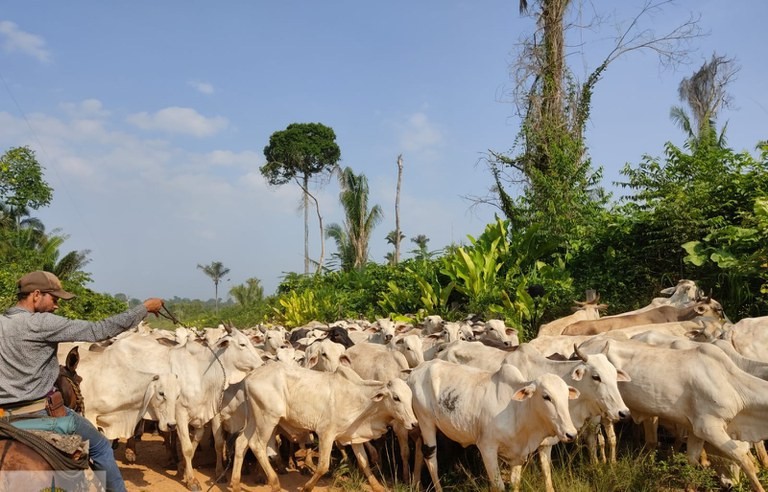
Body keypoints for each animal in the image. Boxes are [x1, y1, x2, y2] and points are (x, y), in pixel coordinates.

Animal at [231, 364, 416, 490]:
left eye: (410, 396)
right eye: (396, 398)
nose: (414, 423)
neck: (363, 401)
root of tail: (249, 377)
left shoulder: (353, 435)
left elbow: (364, 462)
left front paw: (378, 487)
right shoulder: (326, 433)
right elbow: (323, 466)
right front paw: (307, 487)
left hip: (255, 418)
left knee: (241, 443)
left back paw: (235, 484)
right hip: (268, 419)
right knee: (257, 445)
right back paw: (274, 483)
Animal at [408, 358, 576, 492]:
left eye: (566, 395)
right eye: (546, 396)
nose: (571, 434)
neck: (517, 409)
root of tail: (417, 370)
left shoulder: (518, 454)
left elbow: (515, 483)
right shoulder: (487, 447)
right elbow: (499, 486)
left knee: (419, 449)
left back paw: (416, 484)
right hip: (426, 423)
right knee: (431, 459)